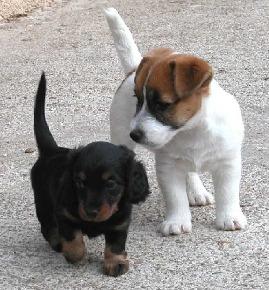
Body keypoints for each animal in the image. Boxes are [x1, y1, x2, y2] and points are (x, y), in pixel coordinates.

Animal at [31, 72, 150, 276]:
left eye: (111, 184)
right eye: (80, 182)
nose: (90, 211)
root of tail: (51, 150)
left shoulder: (120, 223)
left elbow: (116, 244)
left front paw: (115, 262)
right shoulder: (64, 214)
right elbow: (73, 238)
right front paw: (76, 255)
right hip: (43, 202)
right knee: (47, 227)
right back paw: (57, 242)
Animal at [103, 7, 246, 236]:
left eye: (162, 104)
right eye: (138, 100)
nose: (135, 134)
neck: (191, 130)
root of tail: (133, 69)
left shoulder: (228, 163)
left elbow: (227, 193)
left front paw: (229, 217)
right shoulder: (168, 167)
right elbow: (176, 198)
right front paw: (177, 221)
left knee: (190, 172)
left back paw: (197, 192)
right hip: (120, 138)